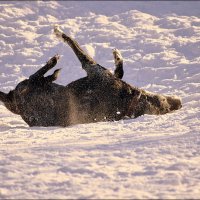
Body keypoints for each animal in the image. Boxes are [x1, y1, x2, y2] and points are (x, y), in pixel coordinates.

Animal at [0, 26, 182, 126]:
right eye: (164, 103)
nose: (179, 103)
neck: (130, 101)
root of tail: (11, 100)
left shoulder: (92, 67)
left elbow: (71, 41)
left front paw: (59, 32)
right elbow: (120, 71)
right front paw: (117, 56)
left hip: (25, 88)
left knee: (35, 76)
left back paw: (52, 67)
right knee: (39, 78)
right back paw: (51, 74)